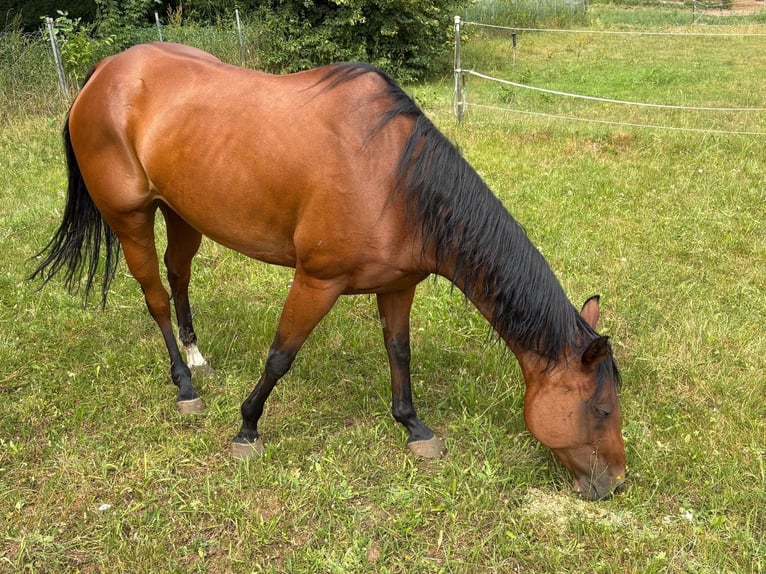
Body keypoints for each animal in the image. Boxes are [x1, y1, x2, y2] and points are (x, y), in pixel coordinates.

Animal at [30, 42, 625, 500]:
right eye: (600, 410)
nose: (616, 483)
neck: (395, 181)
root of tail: (106, 71)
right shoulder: (316, 282)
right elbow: (280, 355)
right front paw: (247, 428)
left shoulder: (397, 287)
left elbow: (399, 353)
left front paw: (414, 426)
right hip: (129, 218)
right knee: (154, 293)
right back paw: (184, 386)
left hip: (182, 212)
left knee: (178, 278)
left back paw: (197, 356)